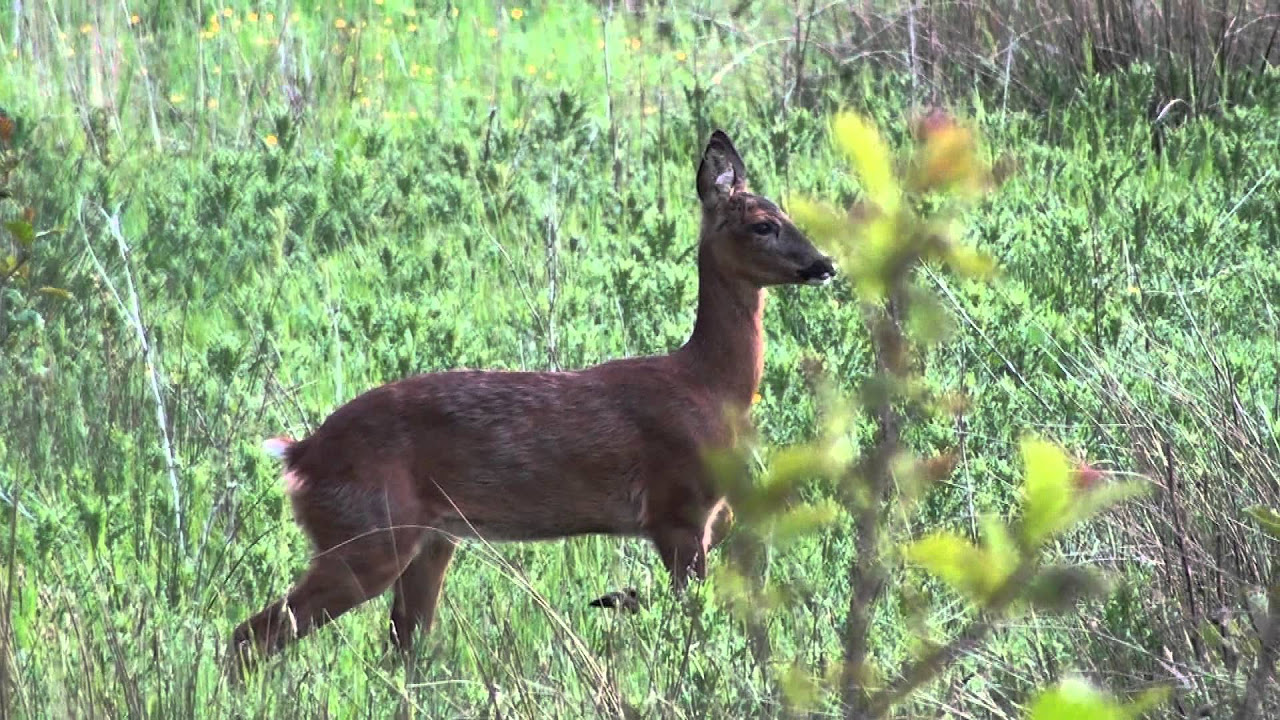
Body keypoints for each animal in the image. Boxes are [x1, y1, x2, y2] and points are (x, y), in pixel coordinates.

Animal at [231, 127, 834, 666]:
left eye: (789, 214)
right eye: (763, 225)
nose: (824, 264)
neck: (707, 385)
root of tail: (300, 453)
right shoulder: (677, 509)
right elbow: (694, 622)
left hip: (428, 539)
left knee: (401, 645)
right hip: (367, 531)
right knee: (252, 635)